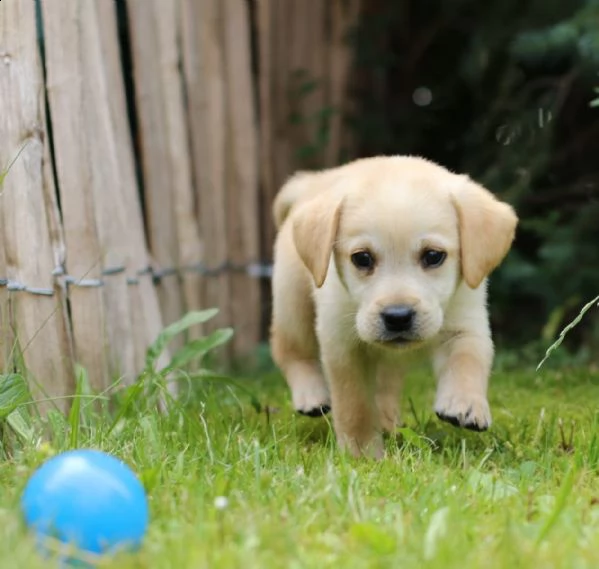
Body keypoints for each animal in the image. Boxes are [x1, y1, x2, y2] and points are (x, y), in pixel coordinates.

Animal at [272, 154, 520, 458]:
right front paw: (362, 452)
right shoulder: (342, 344)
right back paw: (311, 395)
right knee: (290, 349)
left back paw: (389, 422)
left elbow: (467, 359)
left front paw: (465, 404)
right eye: (362, 258)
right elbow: (354, 405)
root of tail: (311, 183)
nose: (398, 317)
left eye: (434, 256)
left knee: (385, 385)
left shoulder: (466, 318)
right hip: (292, 302)